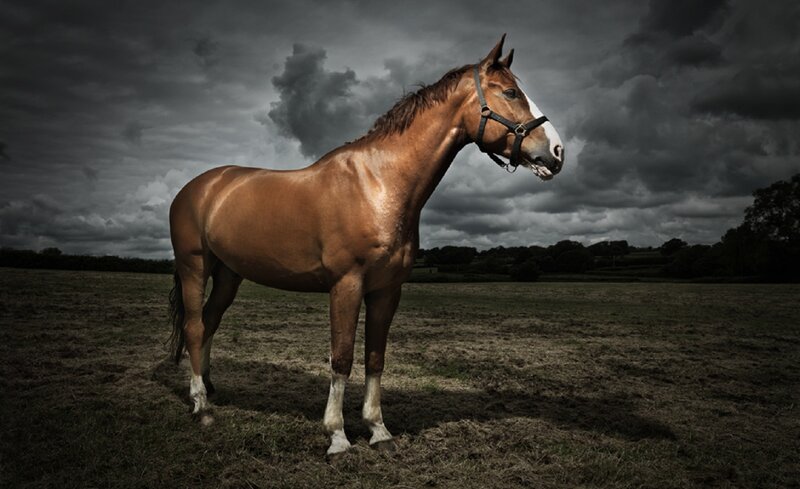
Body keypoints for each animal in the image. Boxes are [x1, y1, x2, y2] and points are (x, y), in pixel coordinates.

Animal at [168, 35, 564, 456]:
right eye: (510, 92)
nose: (556, 152)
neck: (378, 184)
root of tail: (197, 187)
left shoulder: (386, 290)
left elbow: (375, 357)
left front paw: (378, 430)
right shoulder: (346, 285)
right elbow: (341, 358)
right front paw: (338, 437)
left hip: (229, 275)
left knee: (209, 322)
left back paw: (208, 388)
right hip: (195, 267)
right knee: (194, 326)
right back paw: (201, 406)